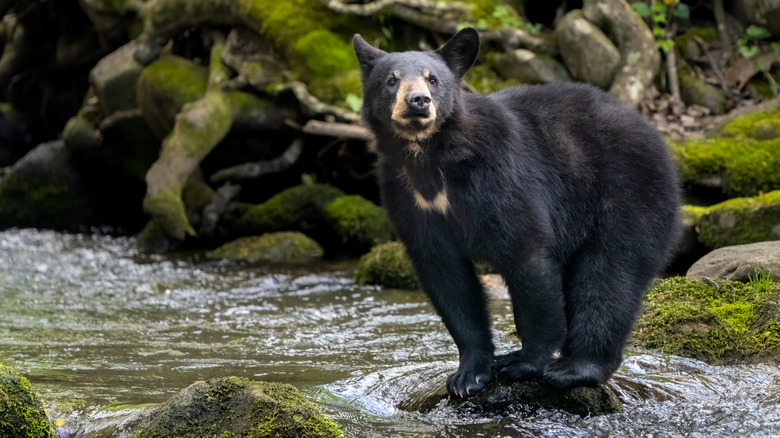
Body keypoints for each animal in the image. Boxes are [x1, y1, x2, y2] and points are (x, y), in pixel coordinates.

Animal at [353, 28, 681, 399]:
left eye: (432, 79)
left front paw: (523, 362)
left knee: (610, 274)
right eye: (391, 80)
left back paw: (575, 367)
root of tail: (658, 139)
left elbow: (526, 256)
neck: (429, 157)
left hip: (627, 193)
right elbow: (447, 278)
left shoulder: (499, 175)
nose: (418, 101)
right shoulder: (408, 199)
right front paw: (468, 375)